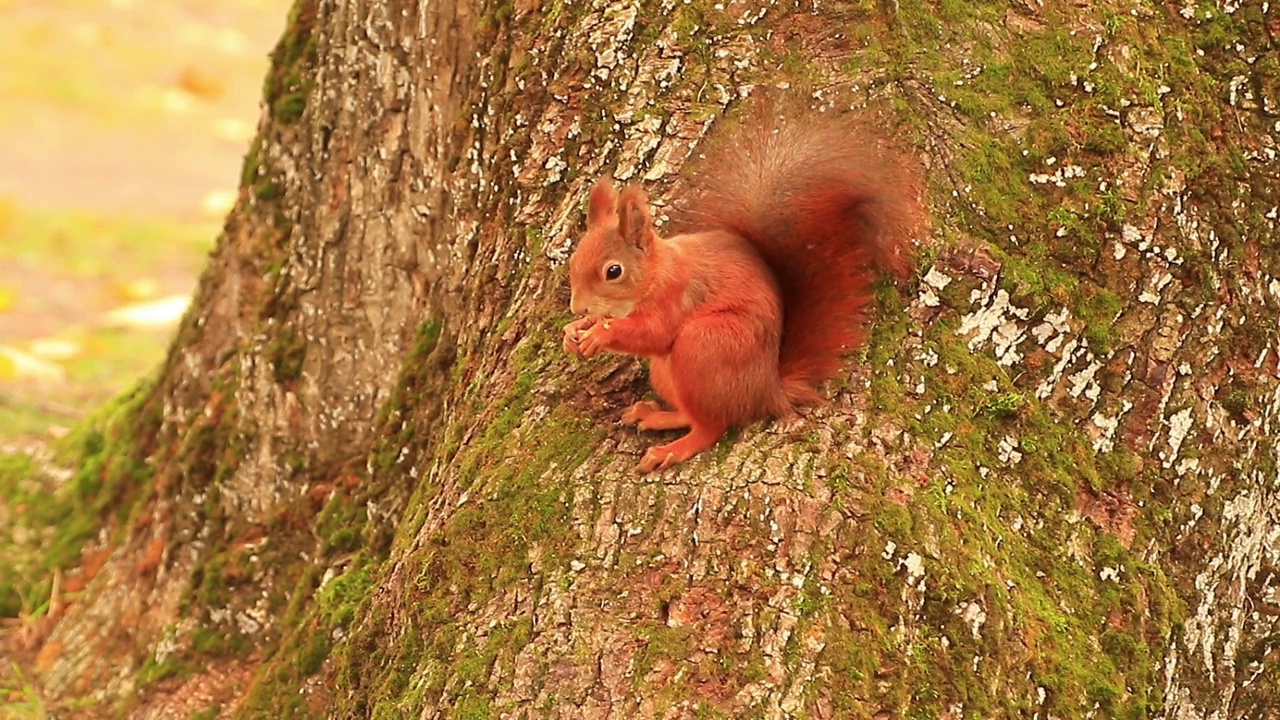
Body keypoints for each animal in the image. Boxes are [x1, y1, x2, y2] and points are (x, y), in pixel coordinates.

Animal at [560, 101, 921, 471]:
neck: (655, 273)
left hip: (705, 343)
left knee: (711, 426)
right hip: (669, 369)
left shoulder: (678, 294)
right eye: (573, 260)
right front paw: (574, 331)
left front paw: (600, 333)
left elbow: (654, 333)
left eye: (613, 271)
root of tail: (768, 391)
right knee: (693, 414)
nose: (577, 307)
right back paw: (658, 416)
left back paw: (671, 450)